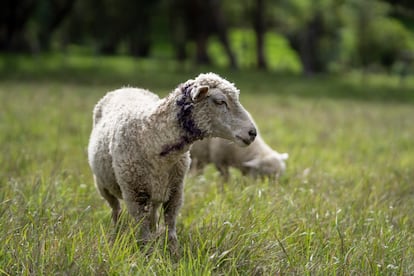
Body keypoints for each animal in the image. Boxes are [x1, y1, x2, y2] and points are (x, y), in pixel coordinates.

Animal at [87, 71, 256, 254]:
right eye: (219, 101)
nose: (252, 132)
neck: (150, 135)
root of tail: (127, 88)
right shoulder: (135, 194)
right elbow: (143, 233)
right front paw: (146, 254)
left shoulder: (176, 191)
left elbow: (170, 227)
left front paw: (173, 253)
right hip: (103, 185)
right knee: (116, 210)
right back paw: (115, 234)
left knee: (151, 216)